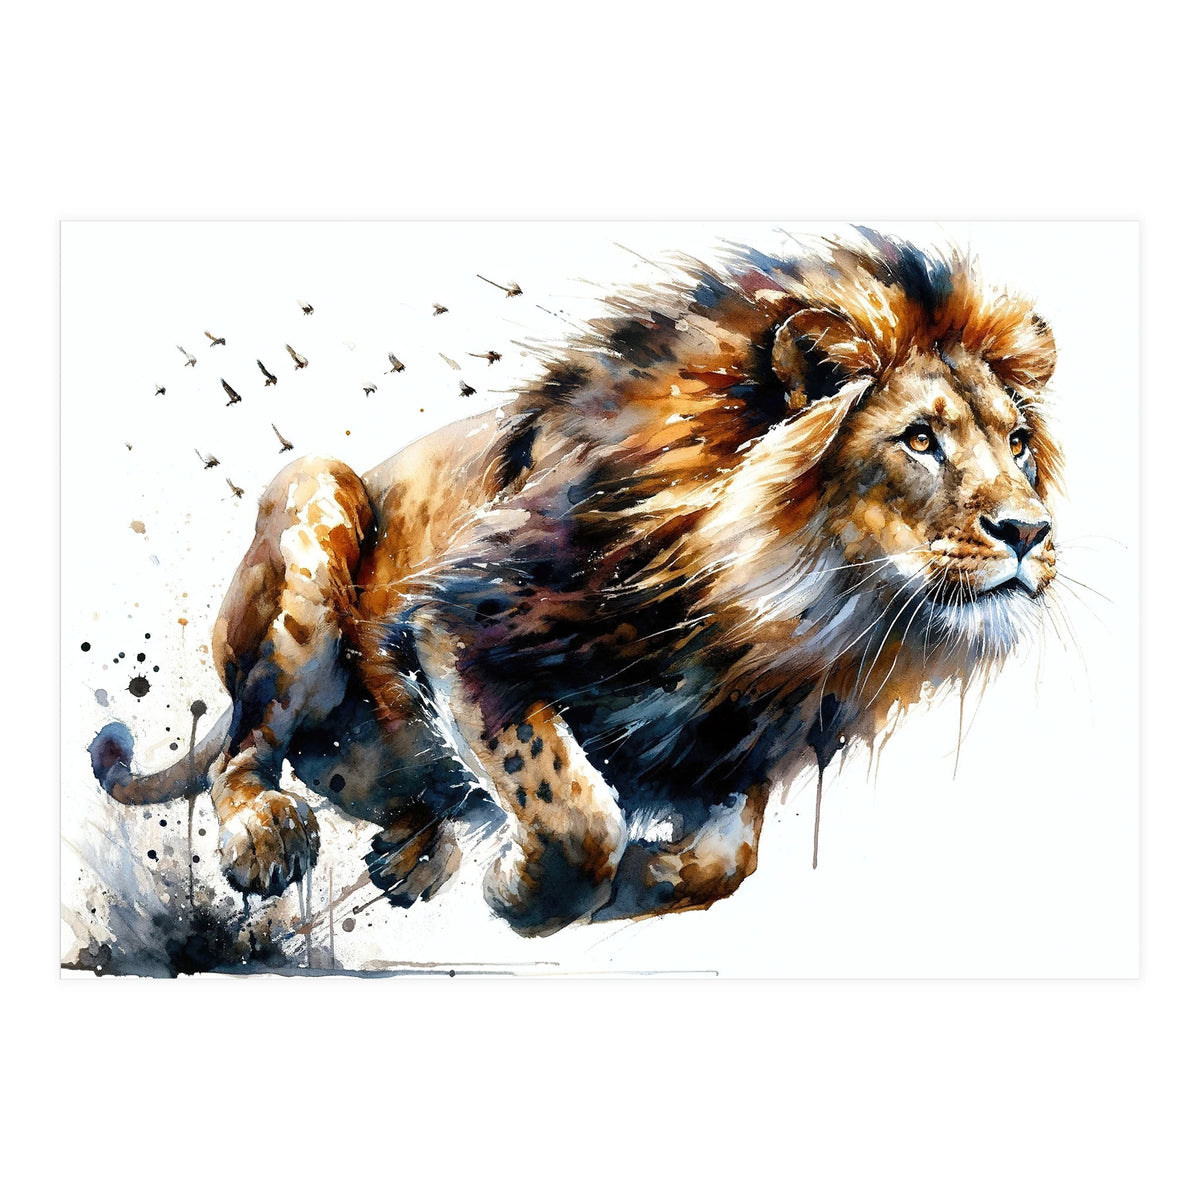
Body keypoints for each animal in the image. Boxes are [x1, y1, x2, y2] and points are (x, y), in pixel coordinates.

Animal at [89, 228, 1061, 936]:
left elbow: (727, 862)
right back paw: (269, 836)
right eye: (919, 440)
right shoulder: (459, 623)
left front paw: (641, 878)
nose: (1030, 532)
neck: (786, 612)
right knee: (248, 748)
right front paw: (527, 890)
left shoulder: (734, 734)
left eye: (1017, 443)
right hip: (315, 494)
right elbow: (571, 807)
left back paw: (412, 852)